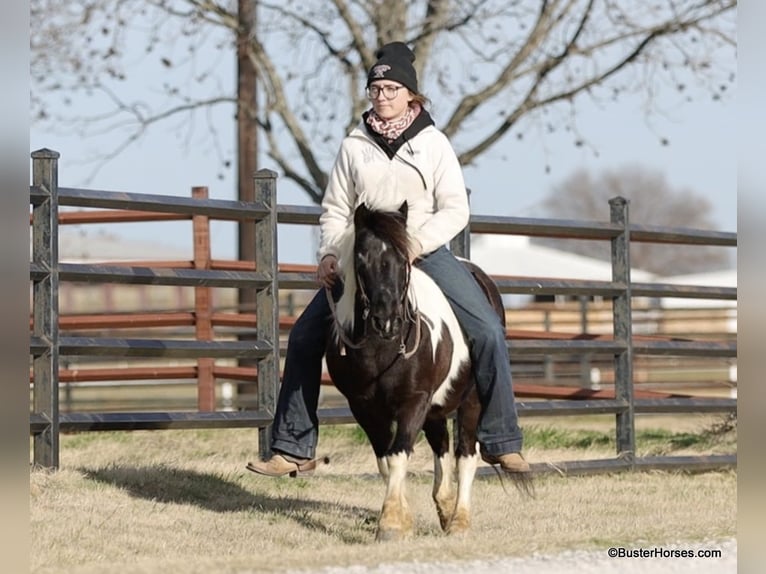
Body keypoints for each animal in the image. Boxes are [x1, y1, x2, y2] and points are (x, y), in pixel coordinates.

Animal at [325, 202, 513, 541]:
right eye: (361, 258)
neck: (381, 350)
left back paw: (460, 521)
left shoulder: (414, 401)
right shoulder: (363, 407)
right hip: (435, 409)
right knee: (442, 447)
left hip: (471, 401)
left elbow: (399, 455)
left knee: (466, 455)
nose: (386, 320)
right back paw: (445, 507)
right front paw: (403, 518)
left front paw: (391, 524)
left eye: (403, 260)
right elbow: (386, 460)